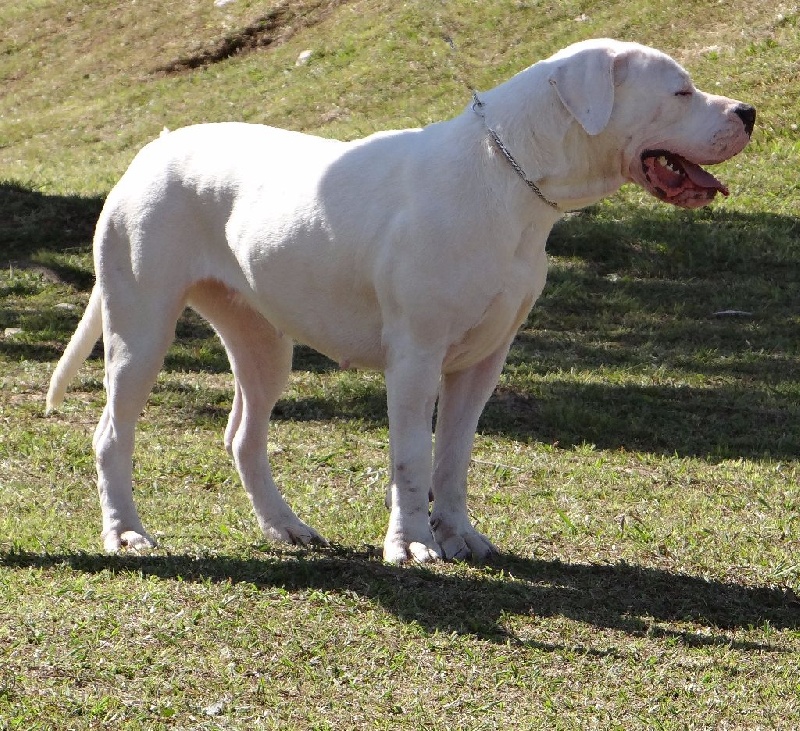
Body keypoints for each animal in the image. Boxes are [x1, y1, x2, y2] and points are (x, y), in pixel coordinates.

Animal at [47, 40, 752, 564]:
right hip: (141, 332)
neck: (508, 179)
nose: (747, 111)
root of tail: (152, 148)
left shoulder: (481, 362)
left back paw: (285, 526)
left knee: (244, 435)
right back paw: (125, 533)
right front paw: (410, 543)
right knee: (112, 434)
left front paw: (458, 536)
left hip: (263, 342)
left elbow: (453, 456)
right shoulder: (415, 358)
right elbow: (412, 455)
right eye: (681, 91)